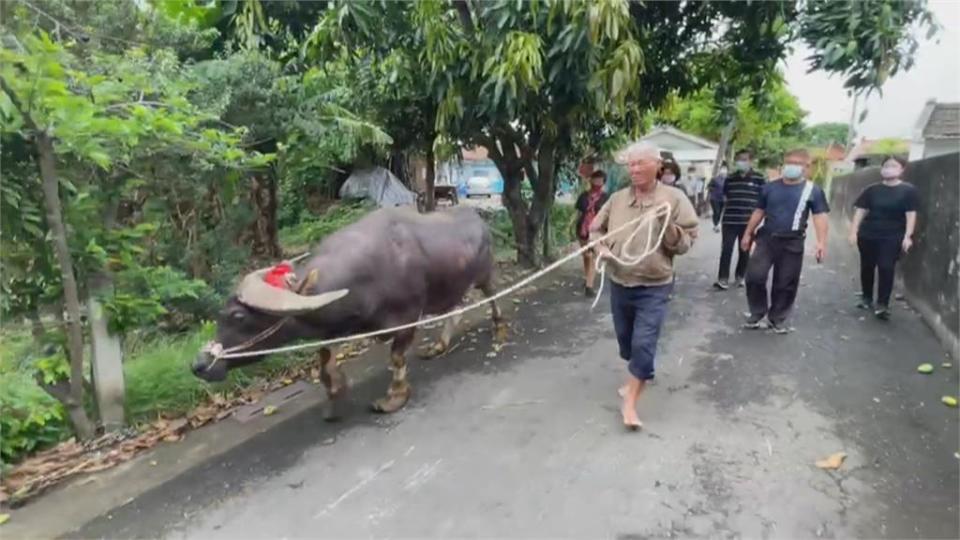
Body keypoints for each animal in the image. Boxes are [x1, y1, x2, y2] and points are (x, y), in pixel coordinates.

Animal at [196, 206, 510, 414]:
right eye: (220, 314)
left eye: (238, 316)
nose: (198, 365)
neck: (367, 276)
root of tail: (477, 217)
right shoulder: (339, 323)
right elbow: (324, 357)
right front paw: (335, 388)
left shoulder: (406, 318)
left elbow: (396, 357)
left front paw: (394, 397)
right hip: (451, 286)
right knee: (455, 309)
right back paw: (439, 346)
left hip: (484, 274)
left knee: (493, 297)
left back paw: (499, 329)